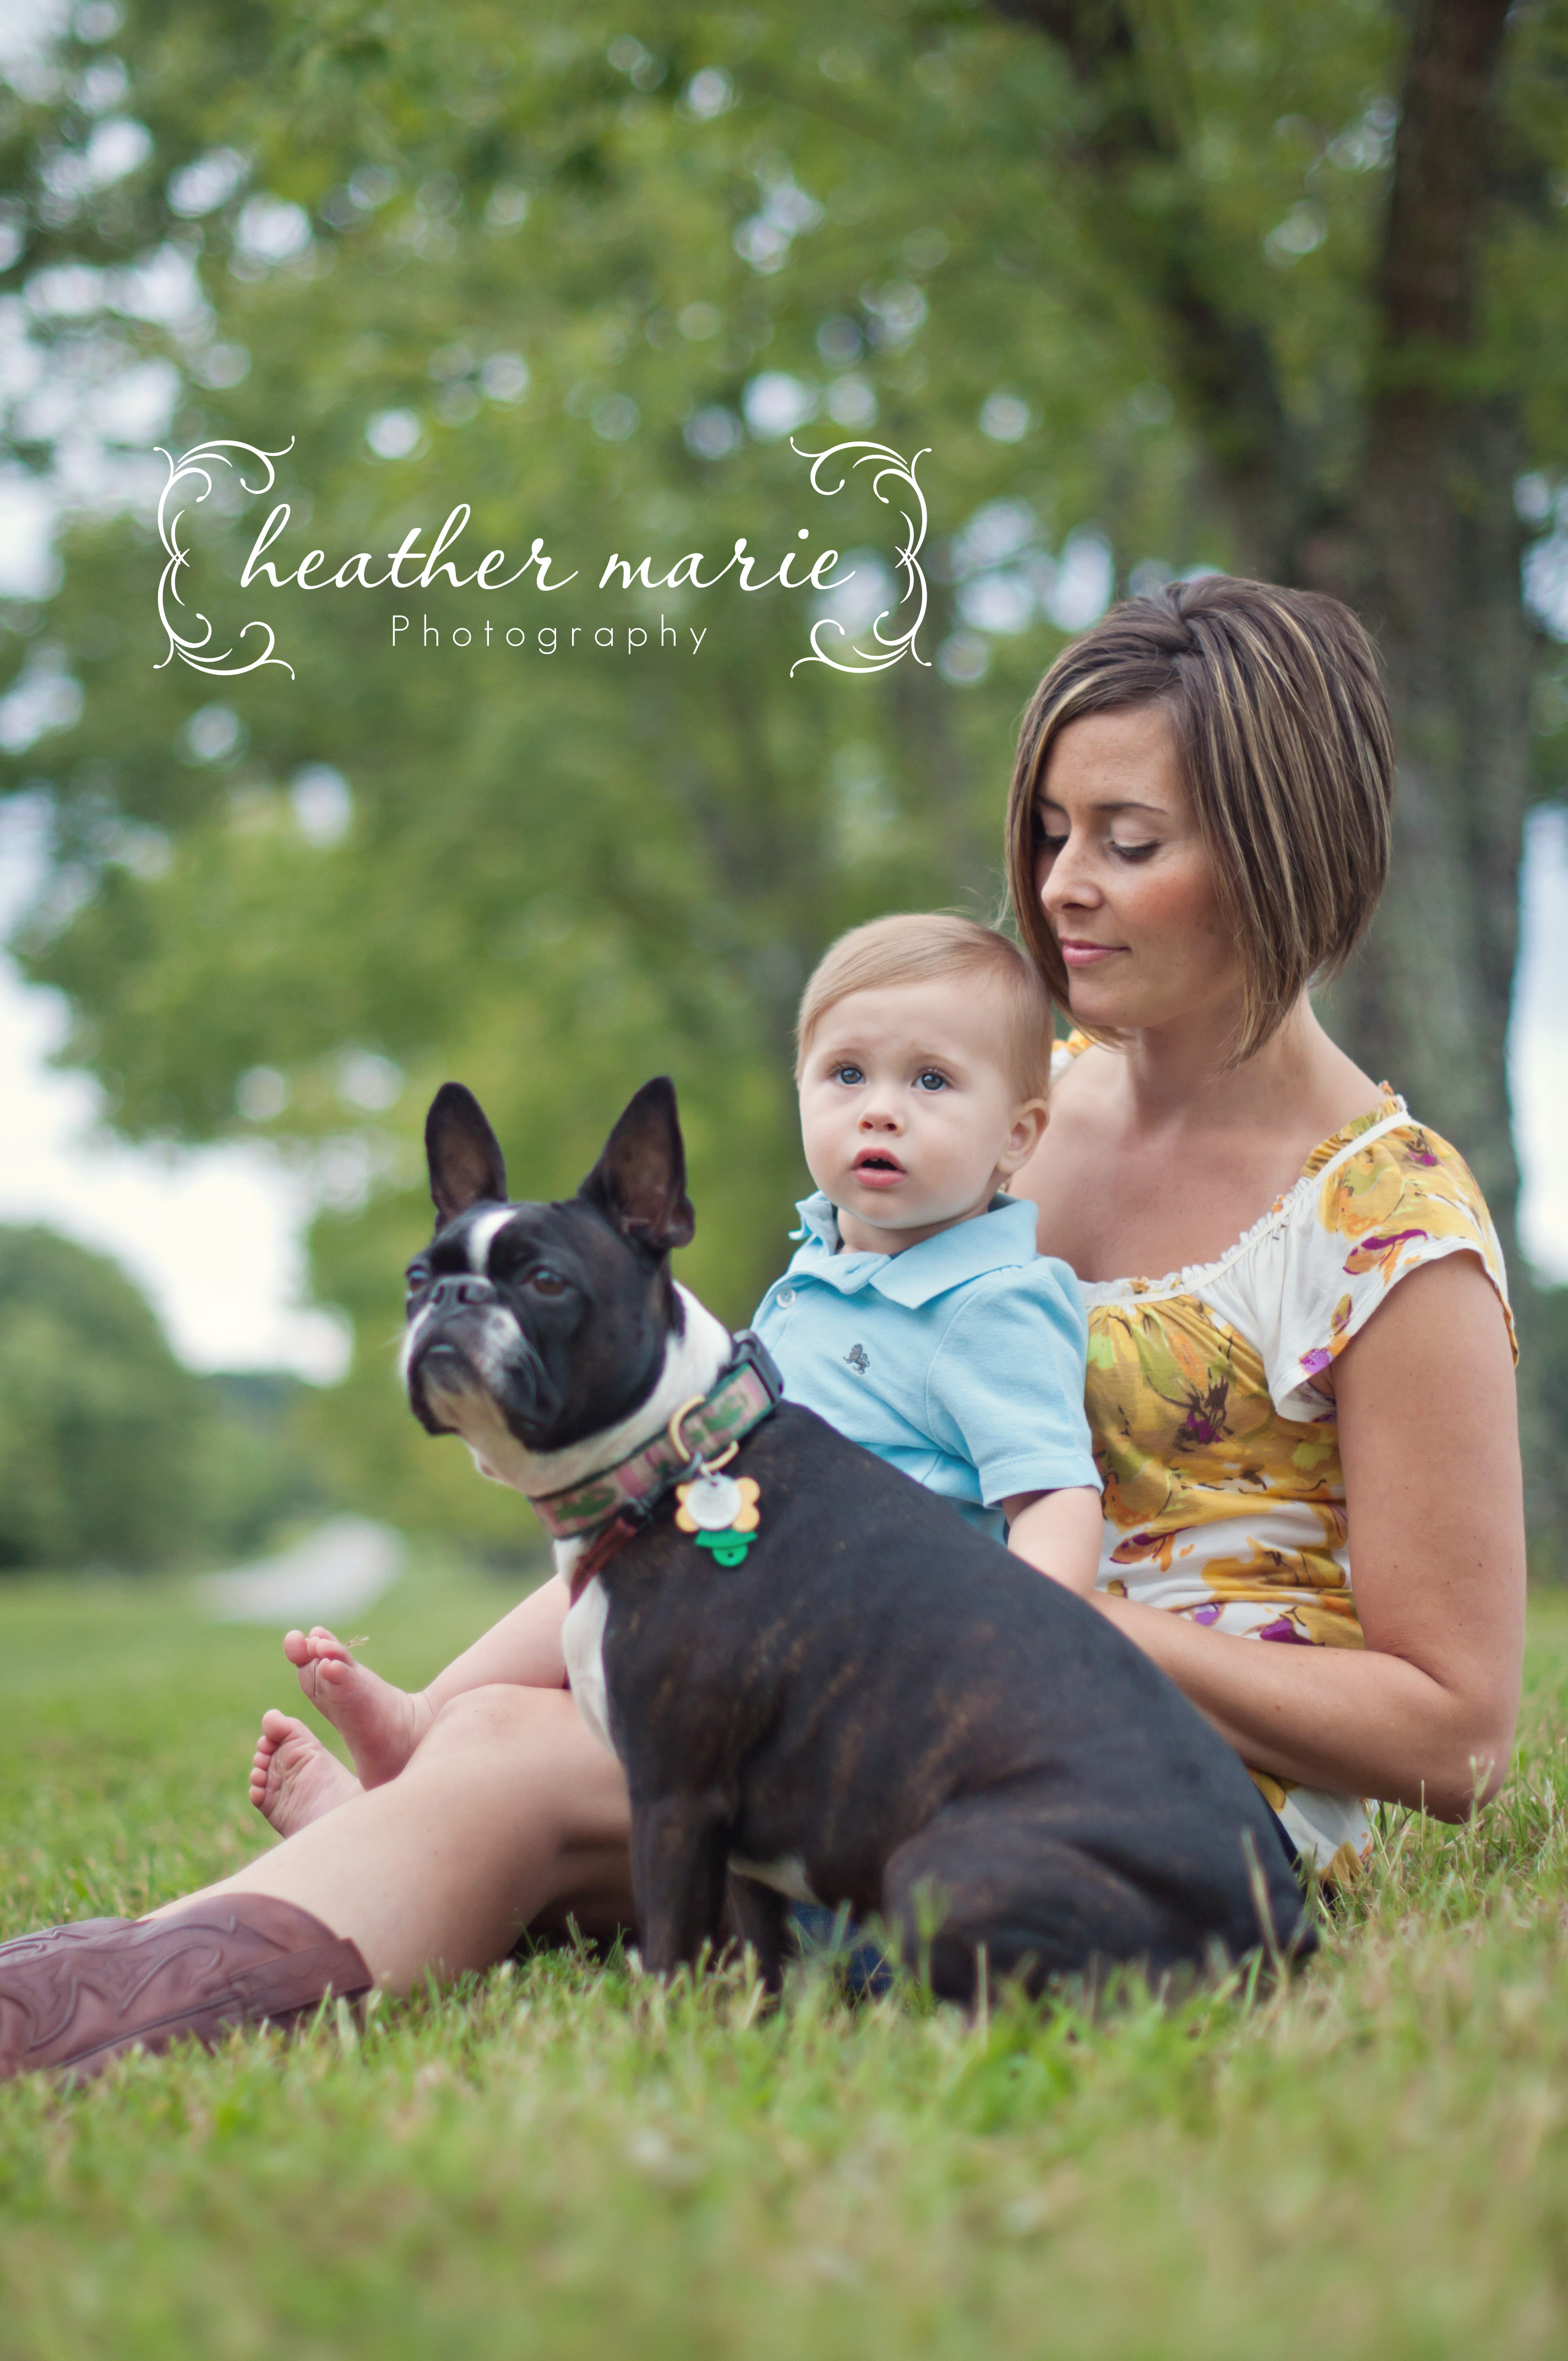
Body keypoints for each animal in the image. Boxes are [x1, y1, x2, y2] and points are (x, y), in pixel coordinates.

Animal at [402, 1075, 1314, 1999]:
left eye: (547, 1282)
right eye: (418, 1277)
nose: (450, 1300)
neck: (673, 1455)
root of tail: (1282, 1917)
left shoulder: (671, 1798)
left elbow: (668, 1955)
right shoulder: (736, 1845)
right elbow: (759, 1961)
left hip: (936, 1873)